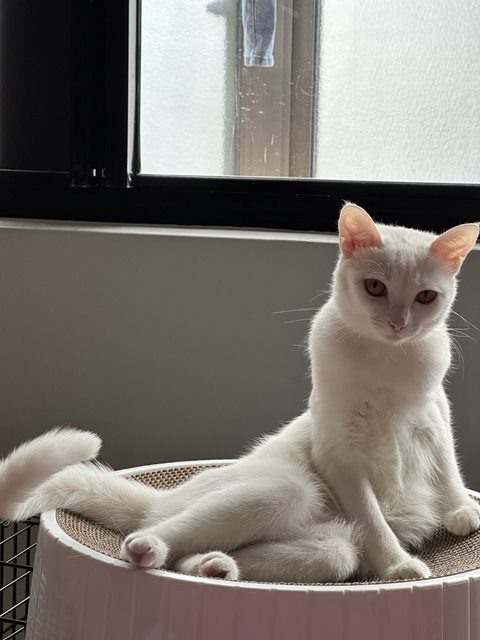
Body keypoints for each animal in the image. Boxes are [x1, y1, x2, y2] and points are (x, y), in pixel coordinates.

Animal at [0, 202, 479, 583]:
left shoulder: (434, 415)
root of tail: (164, 497)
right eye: (375, 287)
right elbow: (374, 520)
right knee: (158, 534)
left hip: (328, 549)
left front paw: (460, 510)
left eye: (426, 297)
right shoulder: (339, 454)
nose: (399, 323)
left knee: (208, 556)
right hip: (286, 490)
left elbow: (448, 464)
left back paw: (215, 566)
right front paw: (399, 565)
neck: (387, 361)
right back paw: (148, 547)